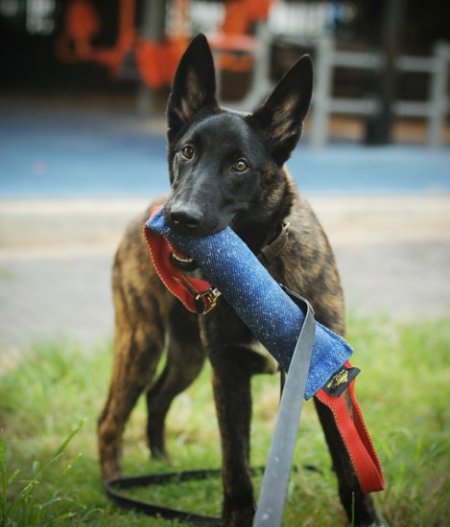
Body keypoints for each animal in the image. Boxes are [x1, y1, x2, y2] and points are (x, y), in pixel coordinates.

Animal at [96, 34, 382, 527]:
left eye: (241, 165)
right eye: (187, 151)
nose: (179, 217)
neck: (261, 265)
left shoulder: (326, 379)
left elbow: (348, 465)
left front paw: (365, 517)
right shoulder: (228, 375)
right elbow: (235, 465)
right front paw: (237, 513)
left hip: (187, 355)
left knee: (156, 397)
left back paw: (161, 464)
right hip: (143, 342)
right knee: (111, 416)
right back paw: (115, 482)